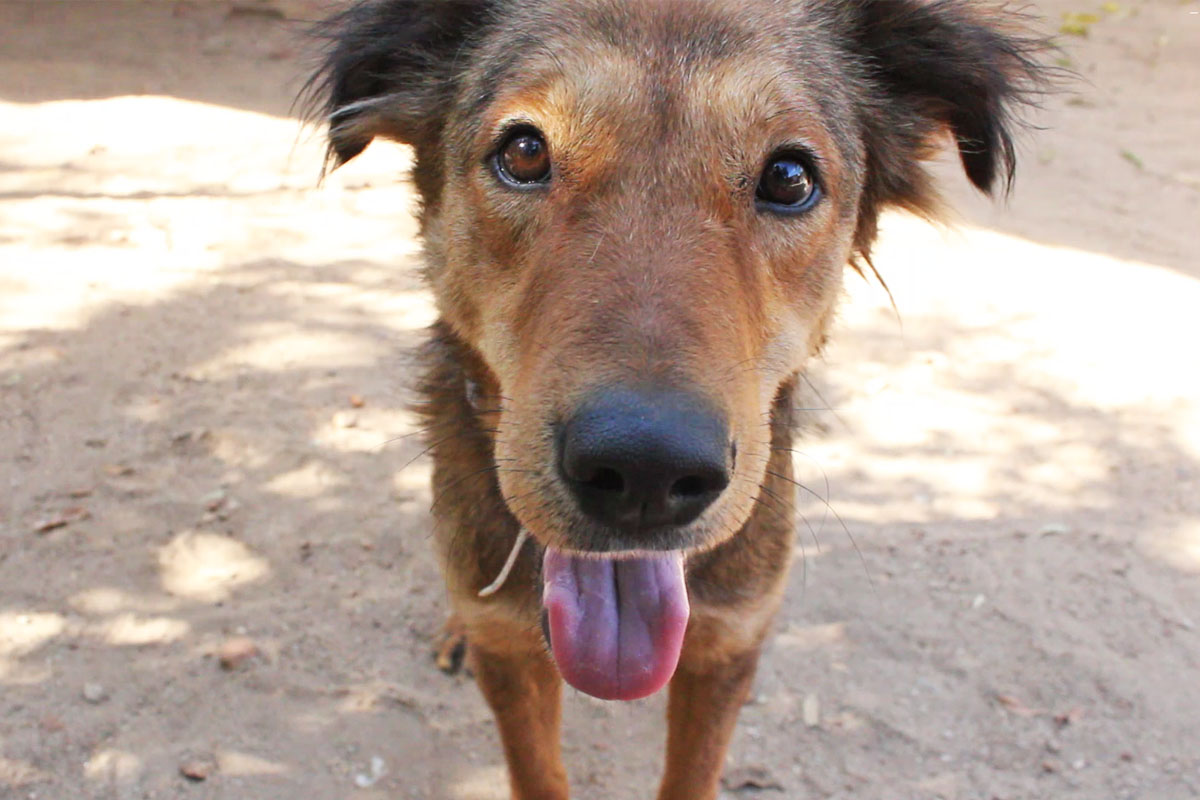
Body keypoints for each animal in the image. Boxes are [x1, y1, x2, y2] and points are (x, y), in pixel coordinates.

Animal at [304, 3, 1046, 796]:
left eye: (790, 177)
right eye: (525, 152)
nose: (645, 473)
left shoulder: (729, 644)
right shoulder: (509, 652)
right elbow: (536, 763)